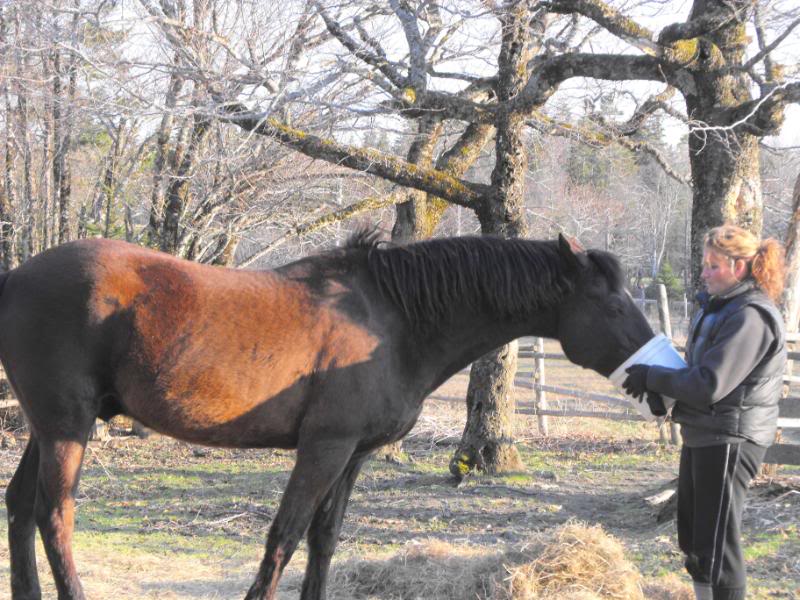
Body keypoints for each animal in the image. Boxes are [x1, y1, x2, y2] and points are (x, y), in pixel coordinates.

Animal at [0, 232, 652, 596]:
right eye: (614, 304)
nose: (656, 367)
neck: (394, 319)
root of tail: (14, 278)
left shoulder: (353, 456)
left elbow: (323, 541)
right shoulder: (324, 448)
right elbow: (283, 539)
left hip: (46, 427)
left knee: (21, 506)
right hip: (67, 427)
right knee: (54, 517)